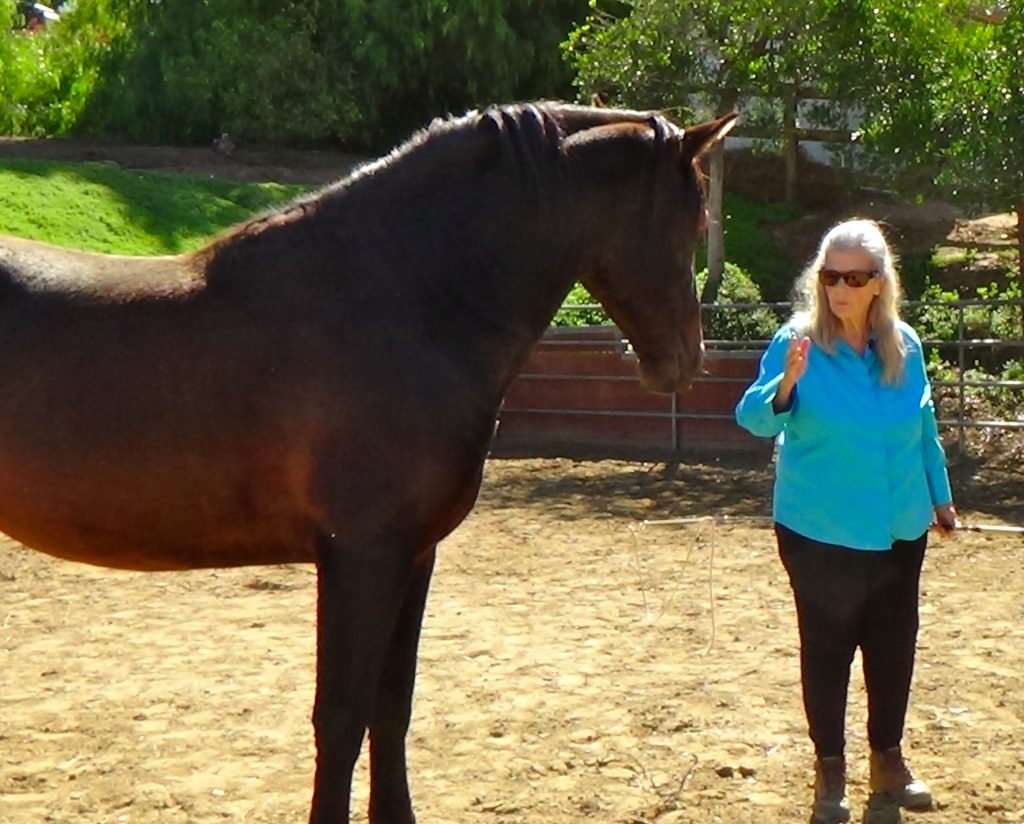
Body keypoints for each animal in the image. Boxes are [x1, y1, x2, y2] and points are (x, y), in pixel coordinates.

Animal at [0, 101, 736, 823]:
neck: (401, 302)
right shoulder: (362, 557)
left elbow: (391, 706)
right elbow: (342, 717)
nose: (686, 360)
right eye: (695, 220)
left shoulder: (412, 556)